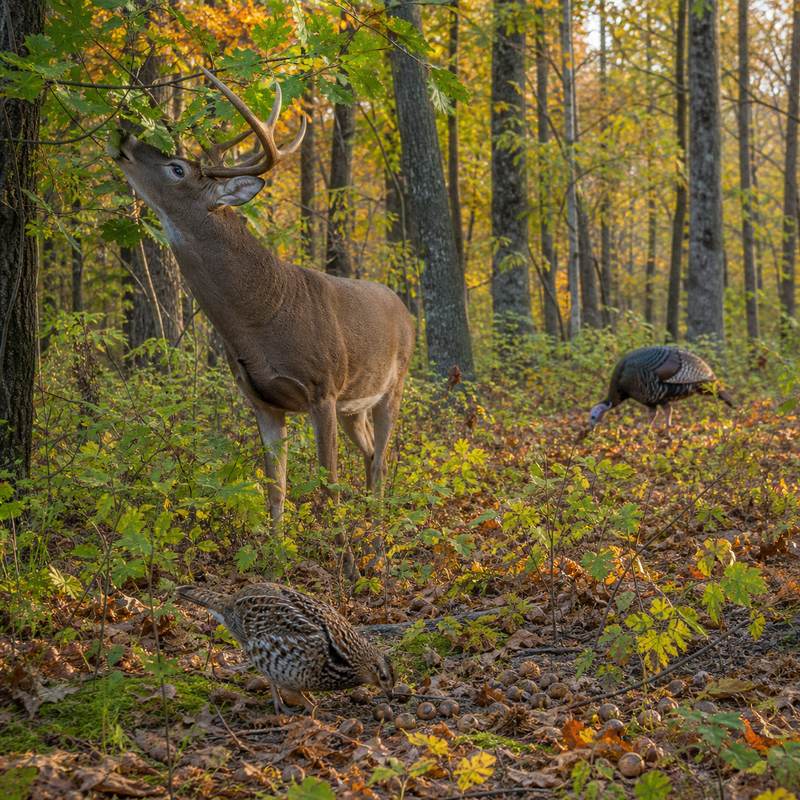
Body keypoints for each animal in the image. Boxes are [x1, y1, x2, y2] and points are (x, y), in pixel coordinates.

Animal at [109, 68, 415, 557]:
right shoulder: (262, 400)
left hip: (393, 384)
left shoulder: (322, 388)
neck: (263, 316)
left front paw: (342, 562)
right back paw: (371, 526)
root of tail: (404, 309)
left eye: (177, 168)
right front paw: (274, 558)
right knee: (369, 454)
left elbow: (328, 484)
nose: (125, 134)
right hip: (356, 404)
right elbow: (275, 487)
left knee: (382, 457)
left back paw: (379, 537)